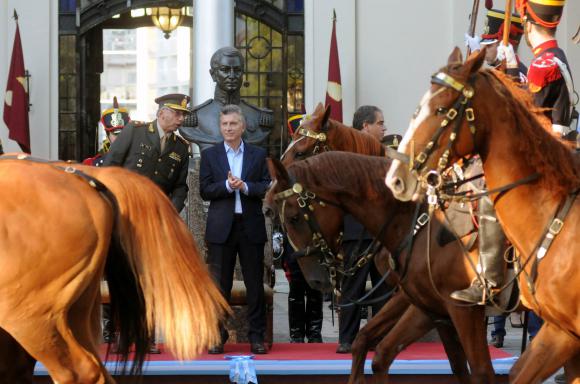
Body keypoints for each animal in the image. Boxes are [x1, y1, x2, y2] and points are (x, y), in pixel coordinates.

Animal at [266, 152, 502, 382]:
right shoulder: (425, 303)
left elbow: (477, 370)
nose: (314, 279)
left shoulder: (456, 308)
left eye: (294, 218)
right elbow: (371, 345)